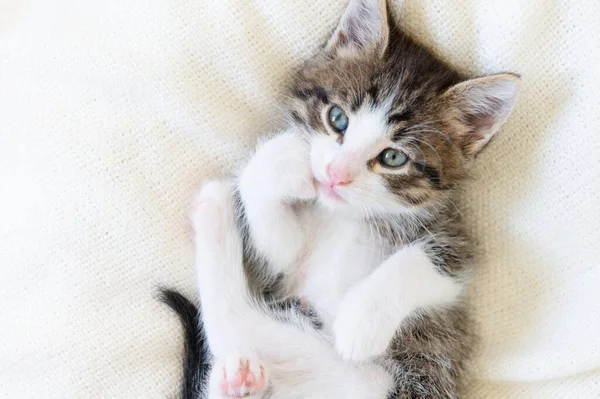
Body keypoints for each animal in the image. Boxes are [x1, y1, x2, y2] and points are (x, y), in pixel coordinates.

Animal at [162, 0, 516, 398]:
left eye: (394, 158)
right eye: (337, 118)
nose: (335, 174)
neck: (348, 215)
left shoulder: (458, 240)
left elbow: (428, 260)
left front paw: (360, 323)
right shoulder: (281, 270)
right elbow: (278, 244)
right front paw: (281, 161)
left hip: (373, 380)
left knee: (232, 322)